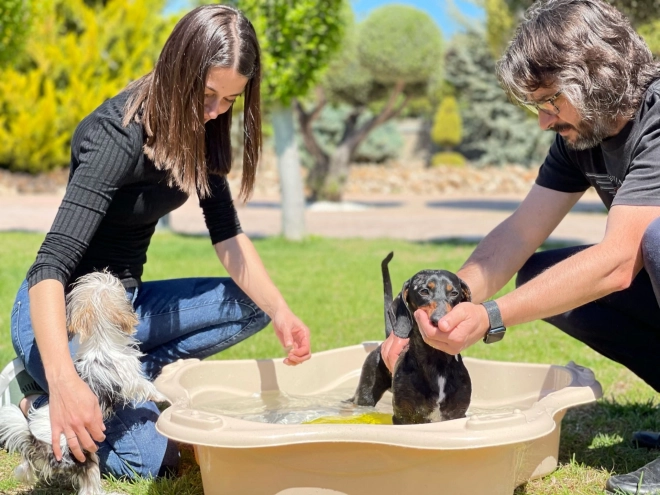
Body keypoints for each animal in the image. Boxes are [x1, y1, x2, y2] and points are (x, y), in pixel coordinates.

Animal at [0, 272, 164, 495]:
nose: (114, 274)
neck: (99, 340)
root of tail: (39, 442)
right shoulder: (130, 377)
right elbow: (146, 386)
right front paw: (160, 395)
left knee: (25, 465)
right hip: (86, 457)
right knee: (89, 488)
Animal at [348, 254, 472, 424]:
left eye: (454, 293)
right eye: (424, 291)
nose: (439, 320)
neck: (436, 361)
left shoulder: (457, 414)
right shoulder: (403, 417)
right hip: (365, 394)